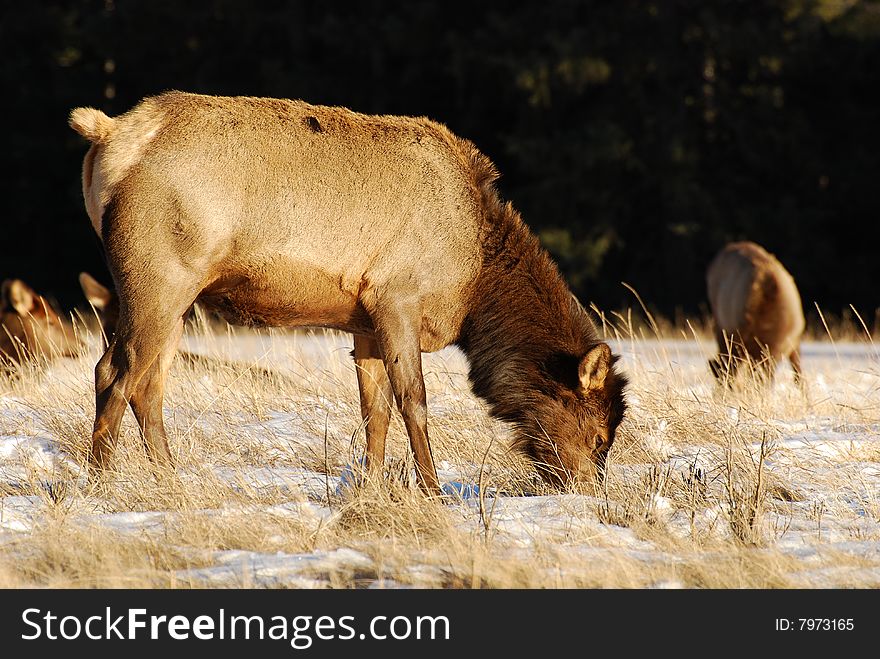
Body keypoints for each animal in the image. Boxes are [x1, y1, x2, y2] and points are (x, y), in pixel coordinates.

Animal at [72, 91, 628, 496]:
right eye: (600, 435)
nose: (587, 490)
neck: (473, 286)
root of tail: (109, 134)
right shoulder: (398, 297)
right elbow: (414, 402)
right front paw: (433, 492)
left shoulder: (363, 321)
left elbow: (373, 411)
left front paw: (372, 487)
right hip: (159, 277)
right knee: (113, 370)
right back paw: (99, 485)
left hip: (175, 298)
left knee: (149, 383)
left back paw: (171, 479)